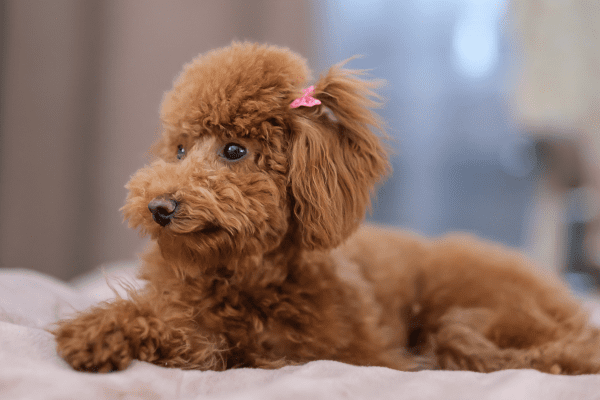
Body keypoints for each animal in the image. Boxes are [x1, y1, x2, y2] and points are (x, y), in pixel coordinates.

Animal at [54, 42, 596, 374]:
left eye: (234, 150)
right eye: (181, 150)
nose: (159, 207)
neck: (243, 274)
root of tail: (571, 311)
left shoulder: (301, 351)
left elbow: (199, 340)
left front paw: (97, 333)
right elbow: (184, 328)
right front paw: (105, 326)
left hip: (471, 313)